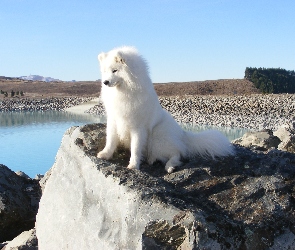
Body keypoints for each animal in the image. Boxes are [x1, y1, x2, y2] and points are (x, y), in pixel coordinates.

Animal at [98, 46, 235, 173]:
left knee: (178, 153)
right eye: (105, 71)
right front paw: (105, 154)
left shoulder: (138, 127)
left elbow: (135, 148)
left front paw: (133, 165)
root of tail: (182, 134)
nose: (105, 82)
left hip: (158, 138)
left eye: (114, 70)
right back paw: (153, 160)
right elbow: (110, 140)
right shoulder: (113, 120)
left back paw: (169, 166)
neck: (124, 91)